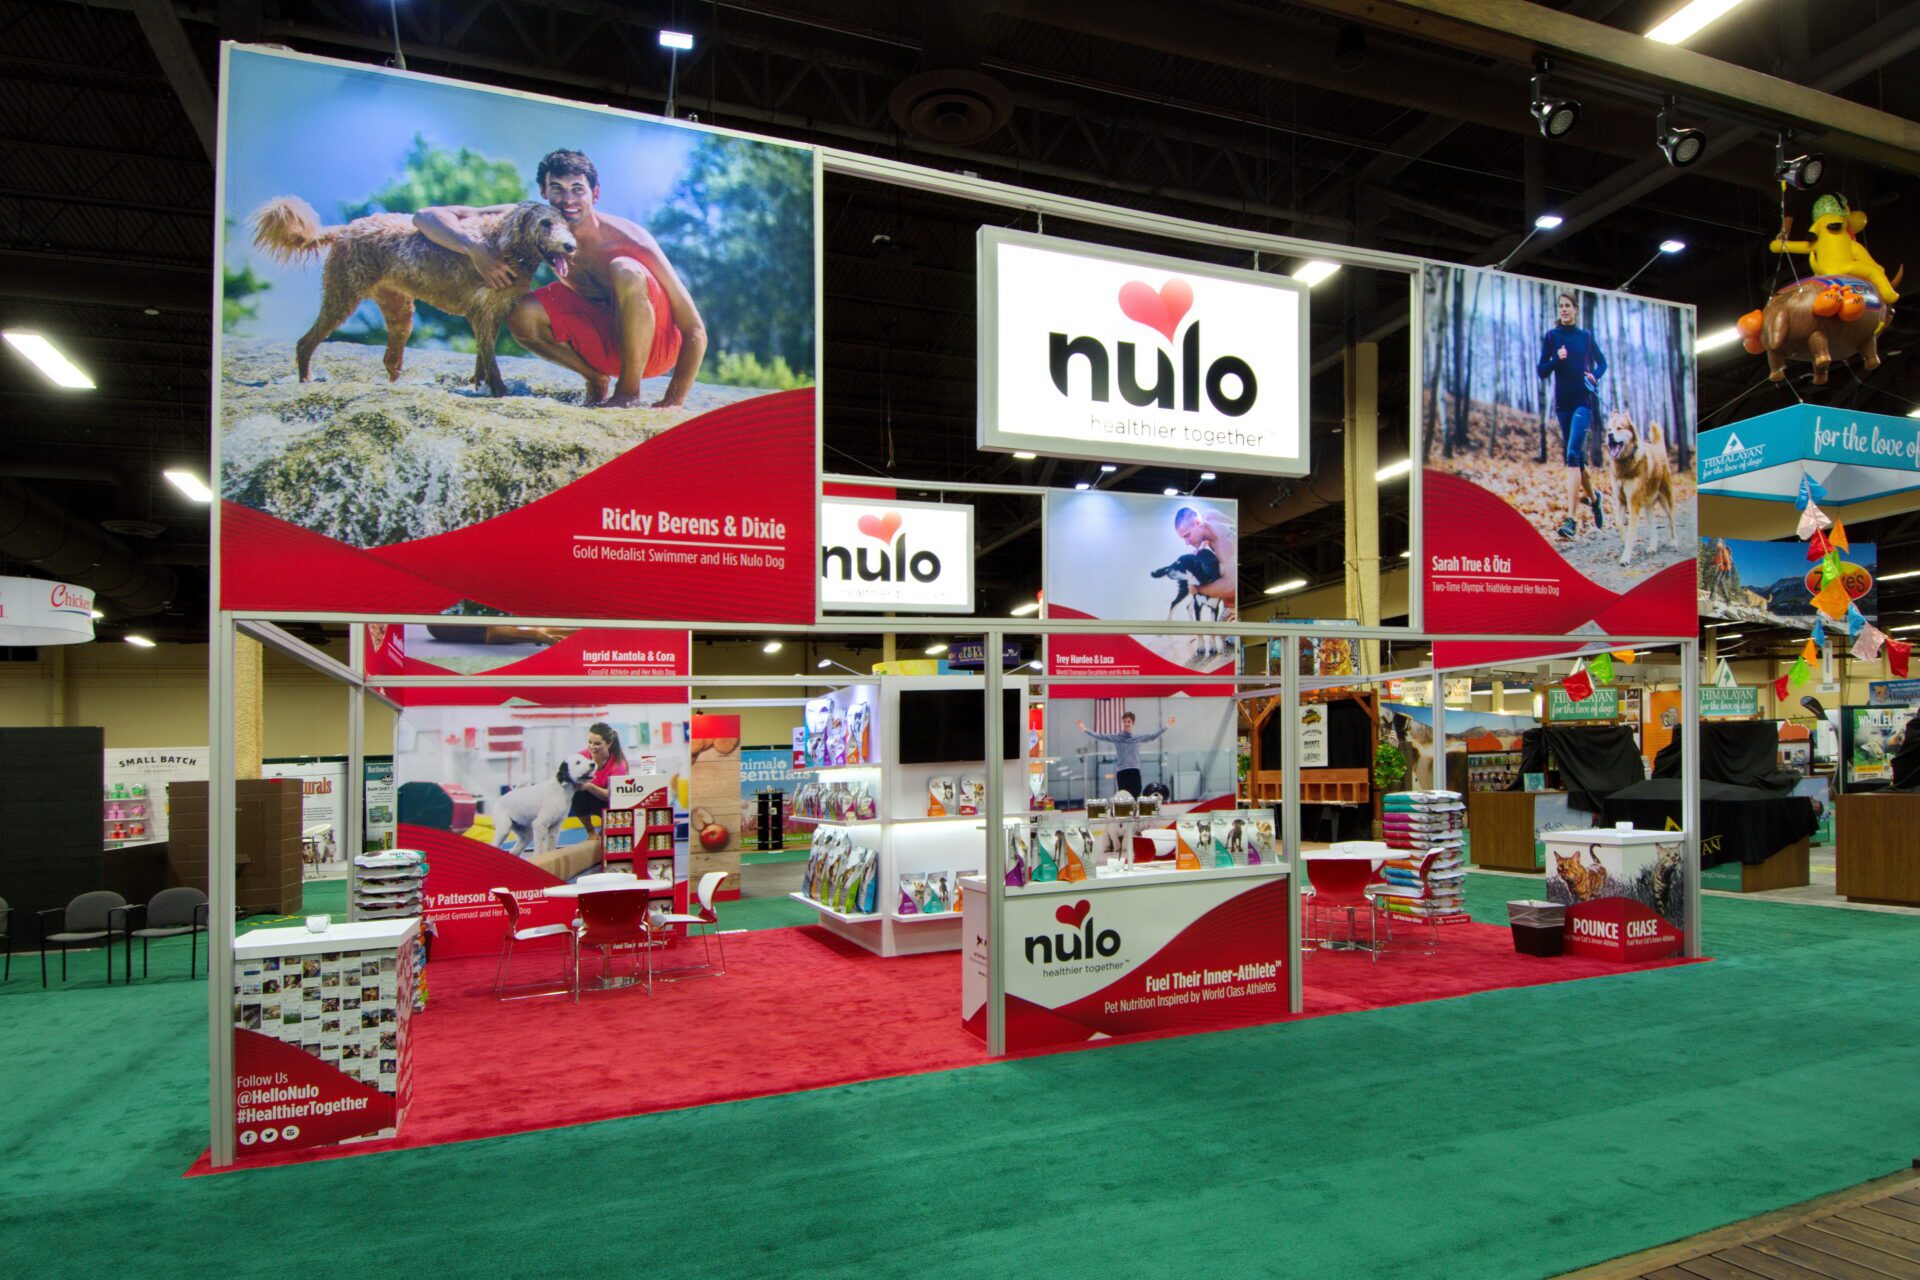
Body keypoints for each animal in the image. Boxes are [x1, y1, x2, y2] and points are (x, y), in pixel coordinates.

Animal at [251, 195, 572, 393]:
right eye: (545, 223)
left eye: (566, 224)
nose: (570, 246)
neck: (507, 246)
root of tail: (346, 228)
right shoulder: (482, 313)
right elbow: (490, 357)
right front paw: (499, 390)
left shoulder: (492, 314)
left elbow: (483, 355)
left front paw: (479, 384)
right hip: (341, 296)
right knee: (305, 342)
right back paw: (305, 379)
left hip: (399, 310)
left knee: (389, 358)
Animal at [1597, 412, 1674, 568]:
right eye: (1609, 430)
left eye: (1619, 428)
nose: (1610, 436)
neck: (1625, 465)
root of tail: (1659, 450)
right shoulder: (1621, 500)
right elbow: (1618, 523)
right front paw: (1623, 538)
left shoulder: (1633, 503)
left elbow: (1631, 533)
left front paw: (1625, 557)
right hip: (1648, 508)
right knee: (1654, 528)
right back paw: (1653, 547)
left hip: (1667, 501)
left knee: (1671, 520)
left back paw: (1674, 541)